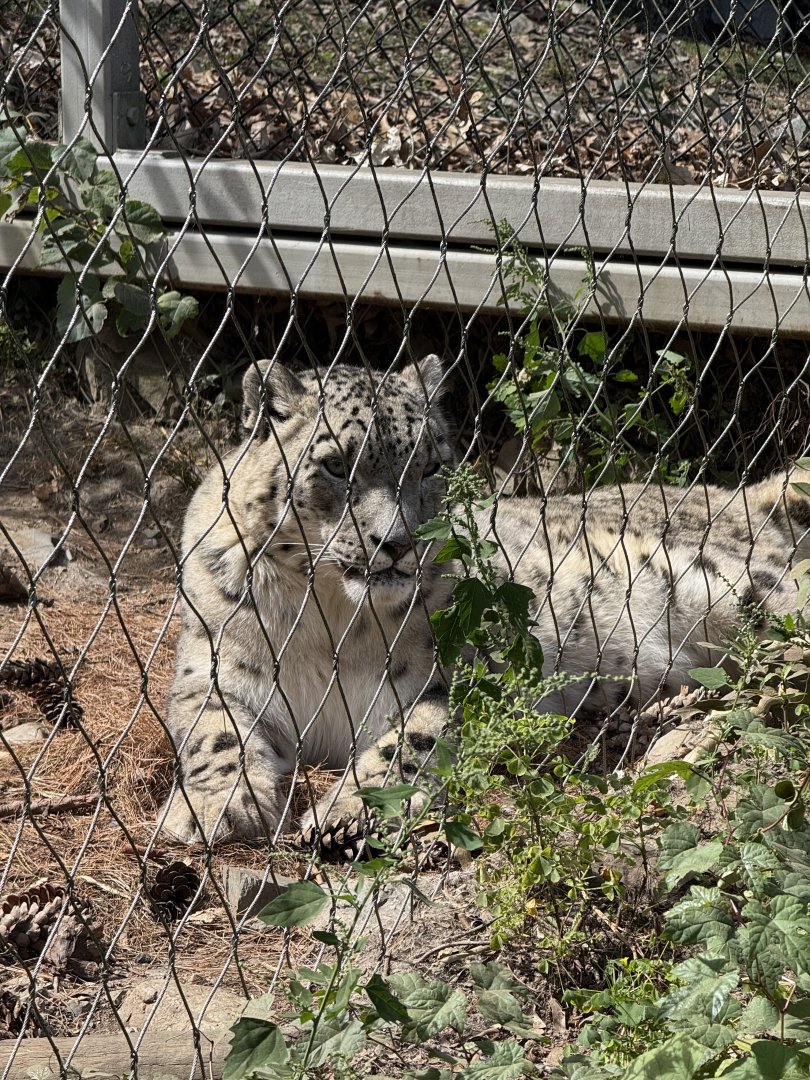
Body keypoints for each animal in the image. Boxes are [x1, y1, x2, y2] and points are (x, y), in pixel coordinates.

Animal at [160, 354, 810, 845]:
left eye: (430, 466)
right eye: (337, 465)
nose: (396, 542)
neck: (330, 618)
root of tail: (739, 496)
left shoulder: (459, 677)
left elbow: (408, 741)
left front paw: (348, 812)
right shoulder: (216, 671)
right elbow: (215, 735)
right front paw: (213, 807)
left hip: (741, 588)